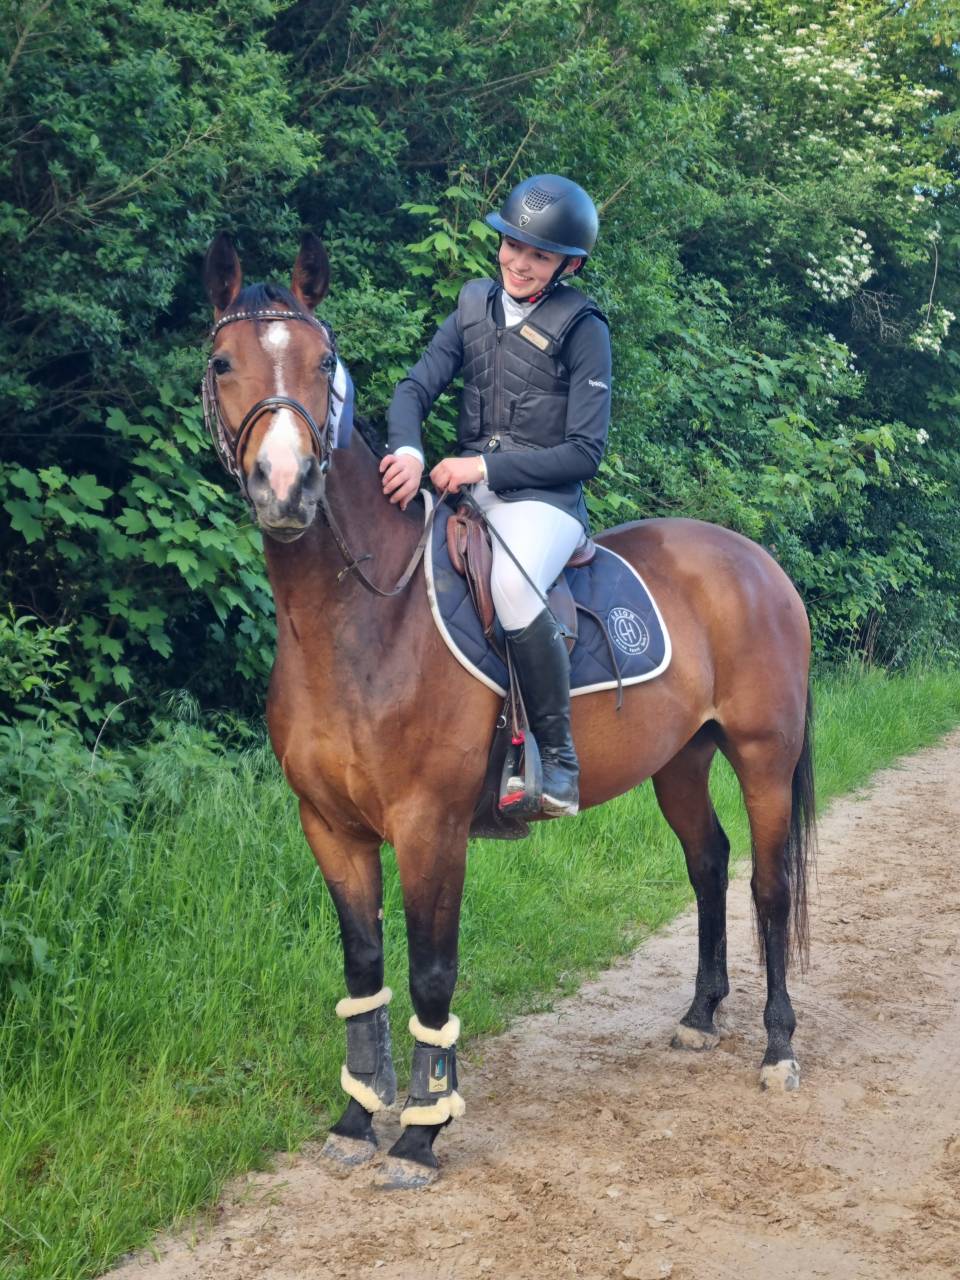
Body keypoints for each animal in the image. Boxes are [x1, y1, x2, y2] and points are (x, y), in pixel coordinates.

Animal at [201, 231, 815, 1189]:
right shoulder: (330, 827)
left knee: (768, 882)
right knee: (709, 863)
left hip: (762, 757)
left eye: (324, 361)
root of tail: (756, 561)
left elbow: (432, 972)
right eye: (224, 361)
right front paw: (356, 1118)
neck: (360, 621)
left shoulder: (431, 826)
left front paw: (421, 1132)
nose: (286, 485)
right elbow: (364, 968)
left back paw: (777, 1049)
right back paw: (700, 1016)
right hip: (680, 759)